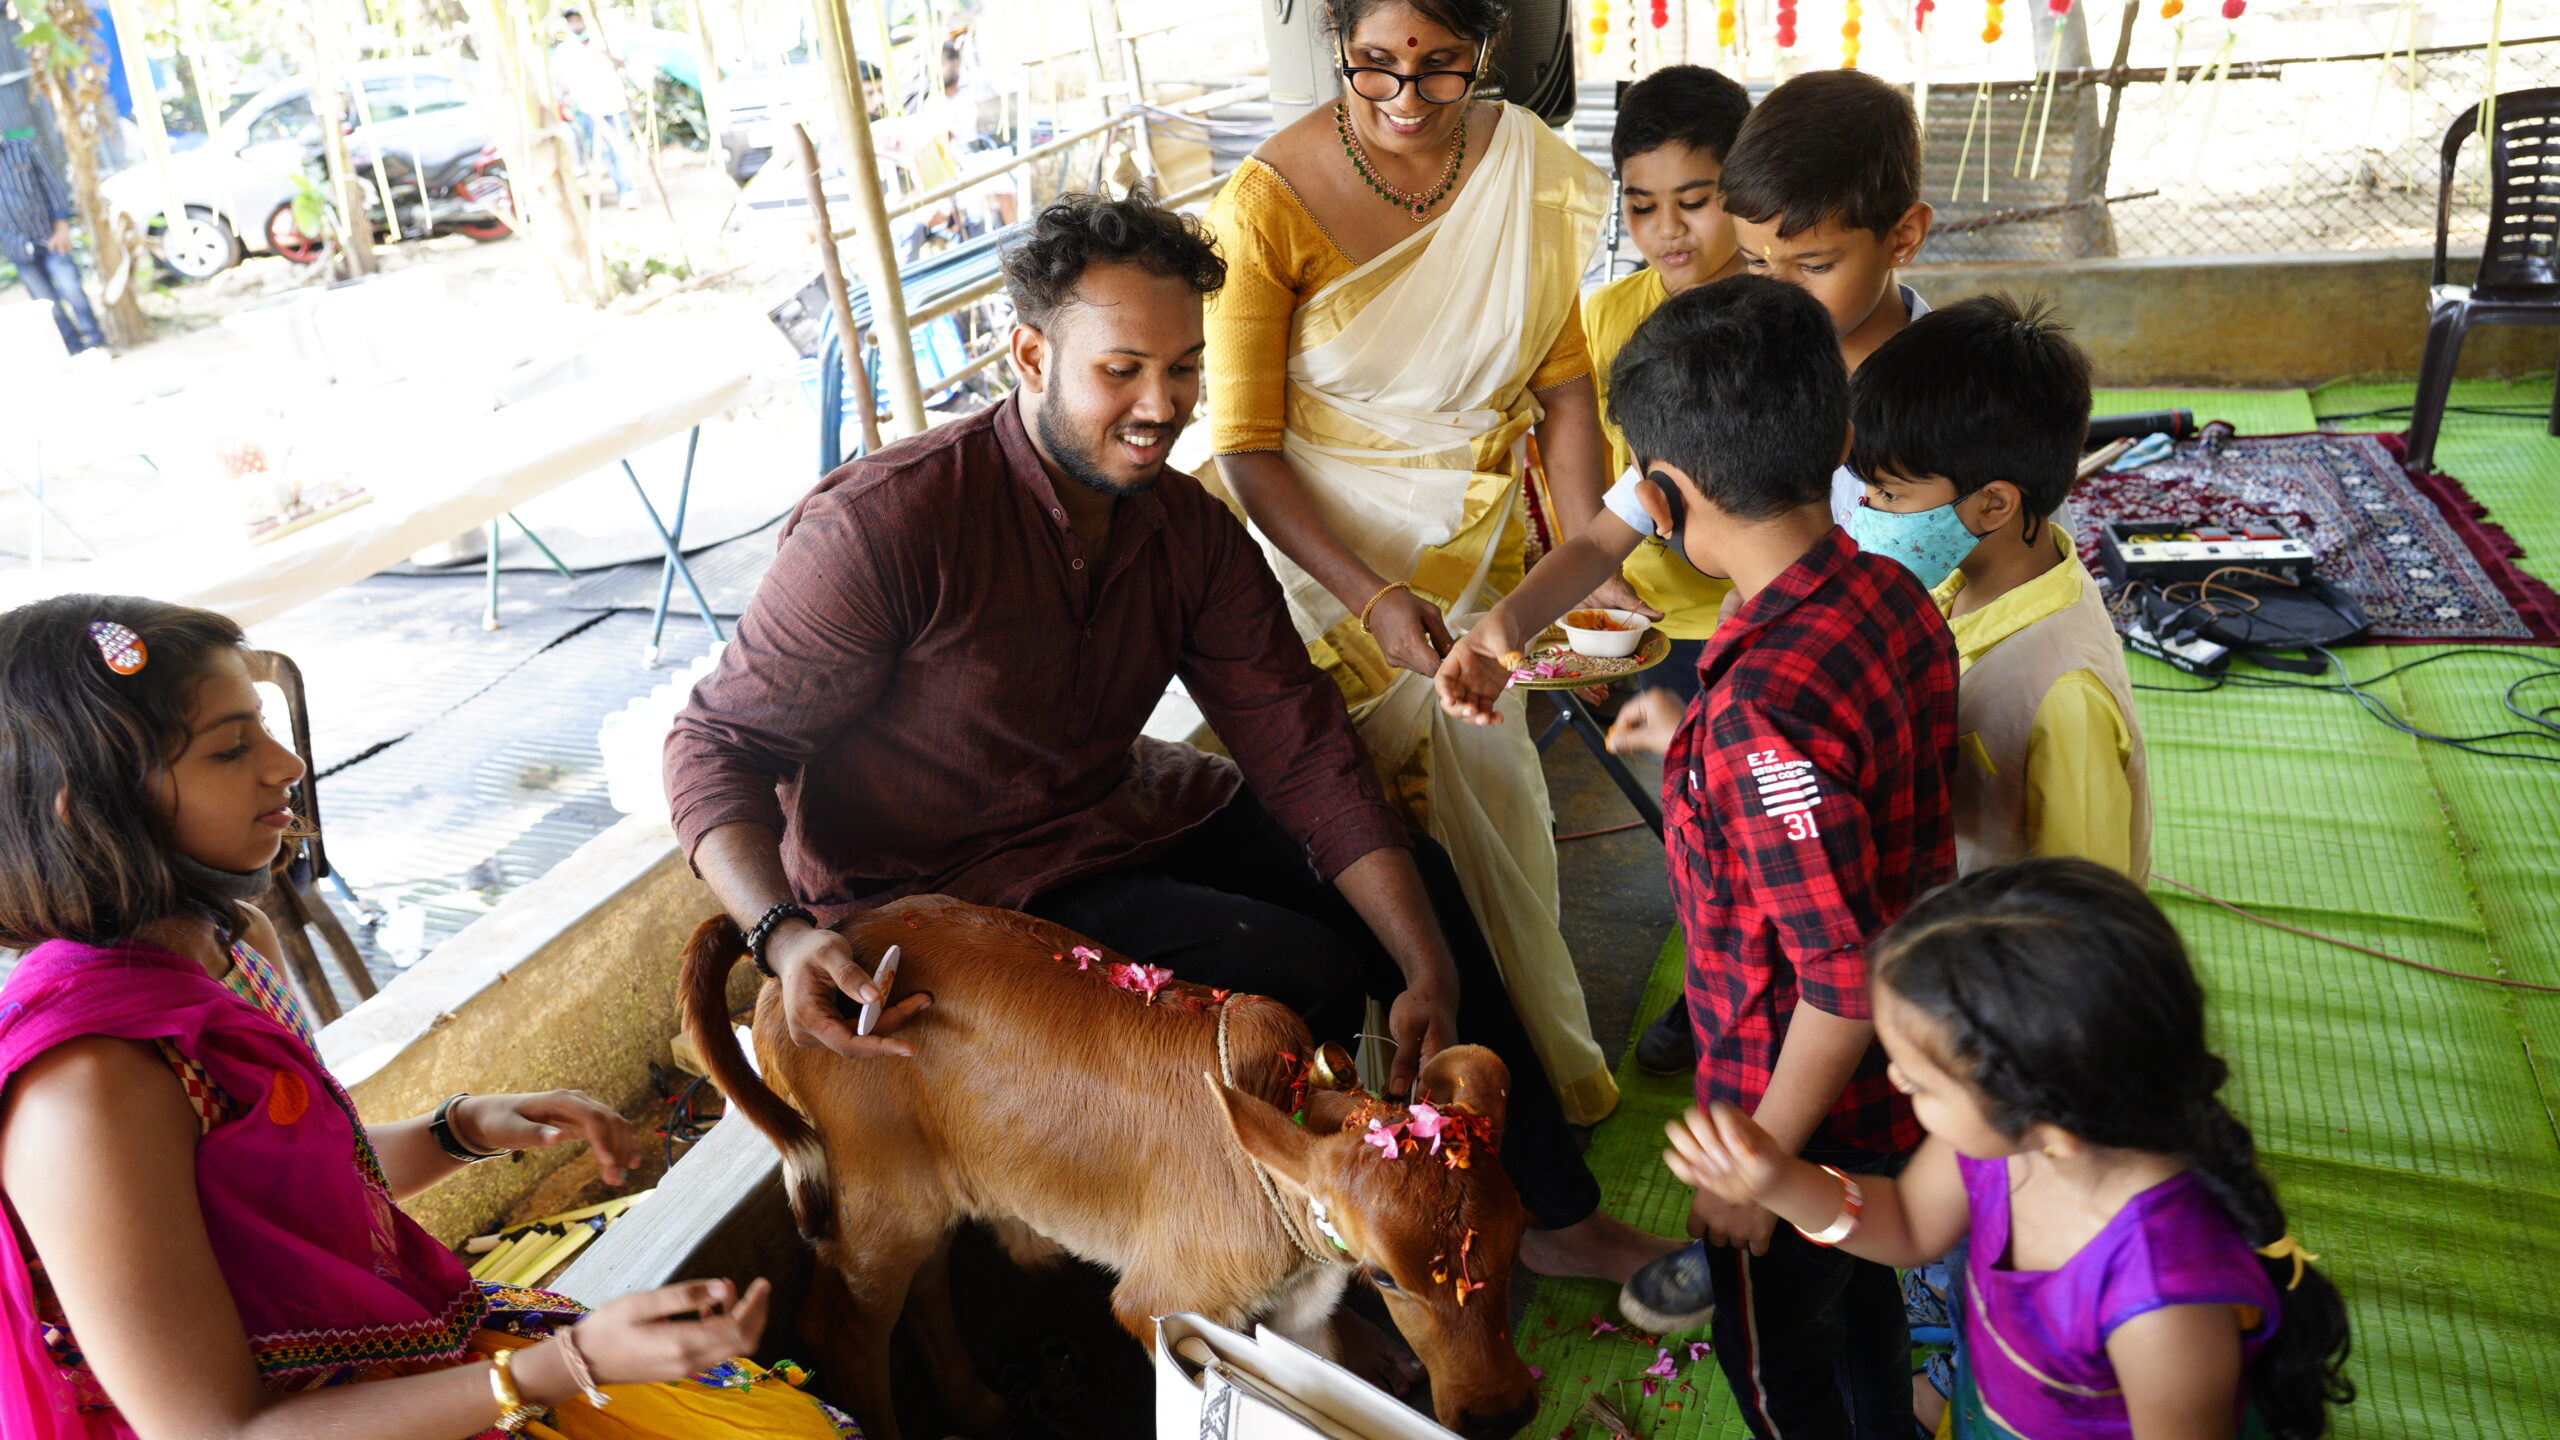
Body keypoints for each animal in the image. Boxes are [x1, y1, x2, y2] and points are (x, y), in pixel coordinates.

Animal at [680, 894, 1540, 1439]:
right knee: (842, 1323)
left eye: (1517, 1239)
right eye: (1387, 1276)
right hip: (879, 1201)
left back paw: (973, 1406)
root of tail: (783, 982)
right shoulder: (1160, 1305)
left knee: (920, 1288)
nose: (1502, 1414)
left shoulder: (1298, 1315)